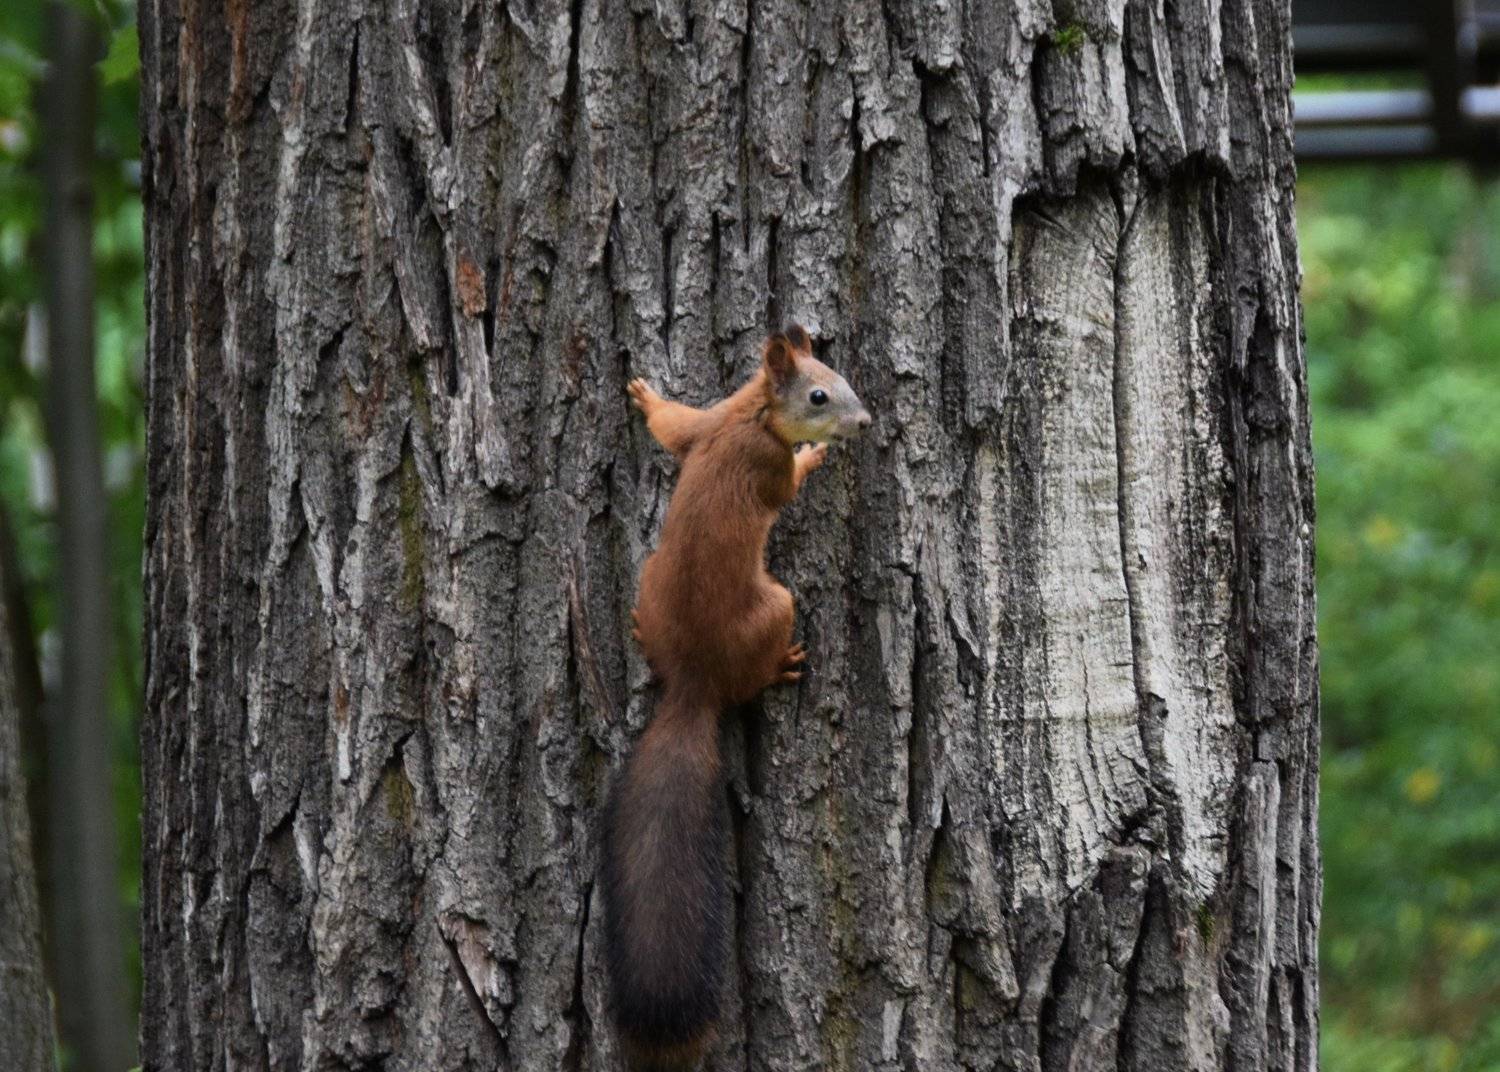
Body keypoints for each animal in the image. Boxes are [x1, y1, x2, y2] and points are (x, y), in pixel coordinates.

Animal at [601, 325, 871, 1070]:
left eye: (839, 375)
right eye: (819, 395)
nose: (865, 423)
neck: (751, 414)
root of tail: (696, 682)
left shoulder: (706, 422)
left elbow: (673, 427)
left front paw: (646, 396)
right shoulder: (762, 462)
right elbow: (787, 483)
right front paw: (815, 455)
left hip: (650, 579)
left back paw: (641, 630)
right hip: (777, 605)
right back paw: (780, 667)